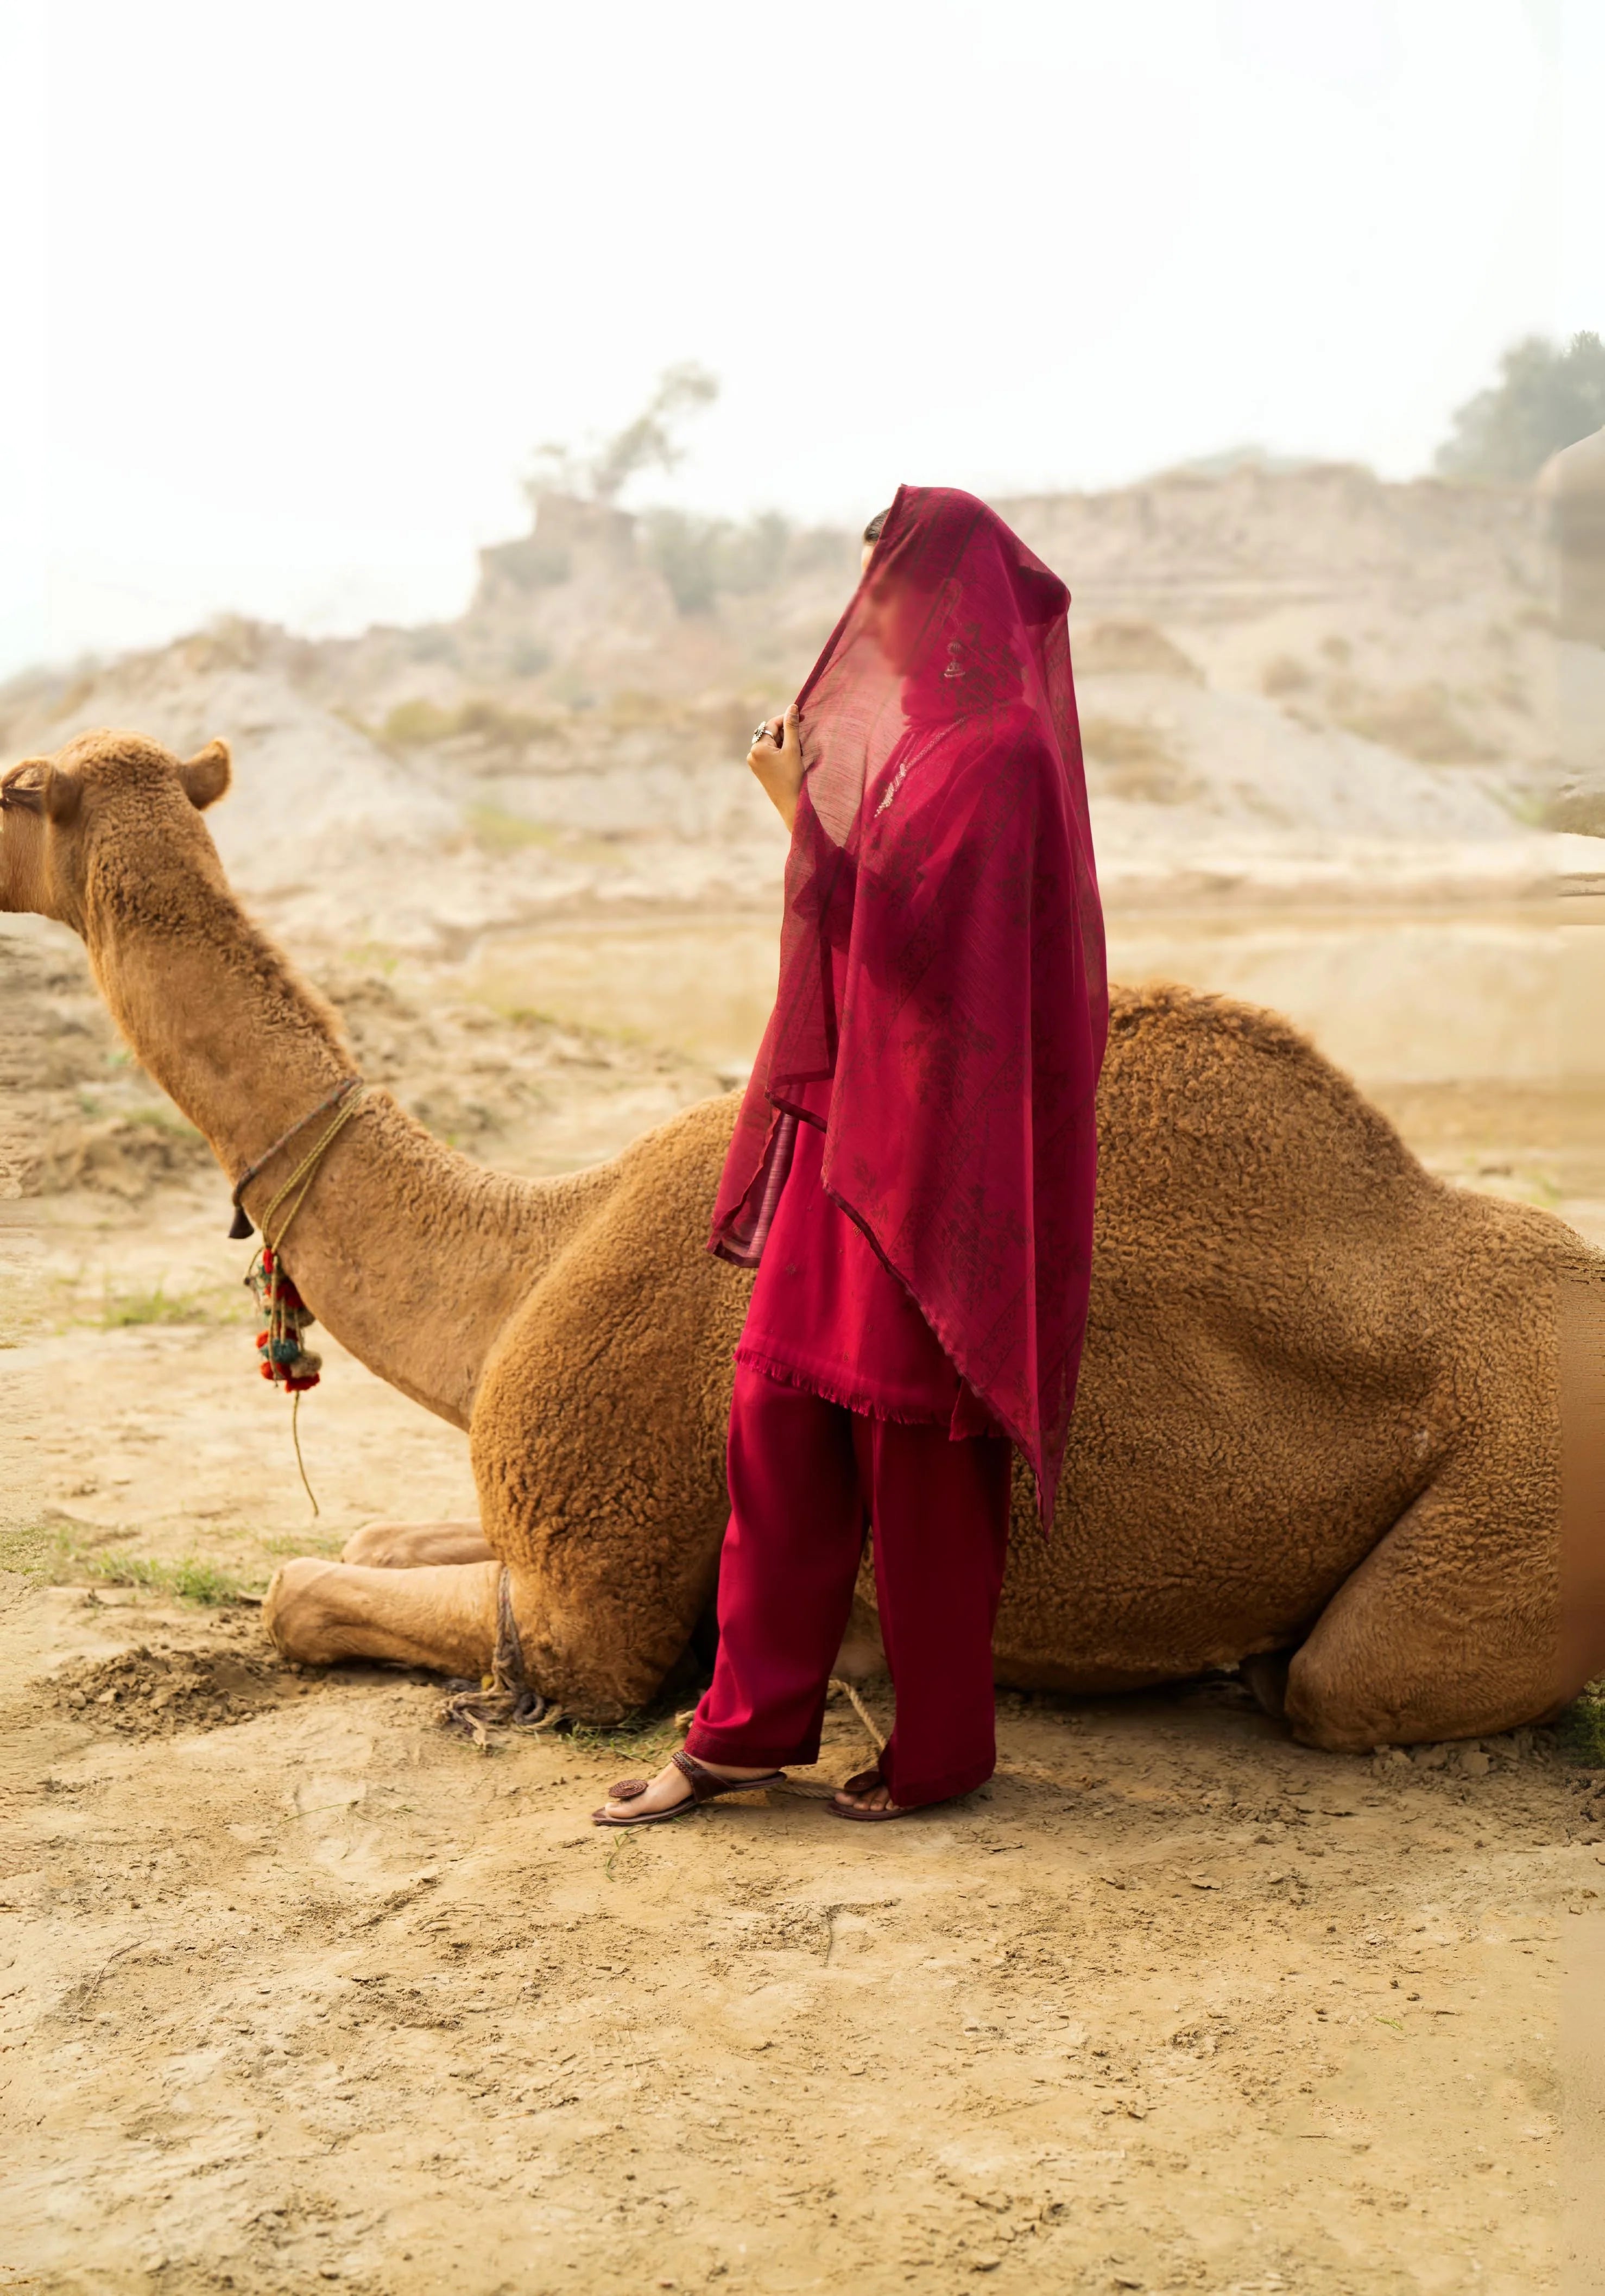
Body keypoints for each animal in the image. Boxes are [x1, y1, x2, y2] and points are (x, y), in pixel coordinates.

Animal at [0, 725, 1598, 1745]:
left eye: (15, 783)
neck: (530, 1251)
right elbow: (382, 1531)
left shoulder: (588, 1592)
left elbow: (304, 1594)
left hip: (1504, 1521)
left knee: (1341, 1683)